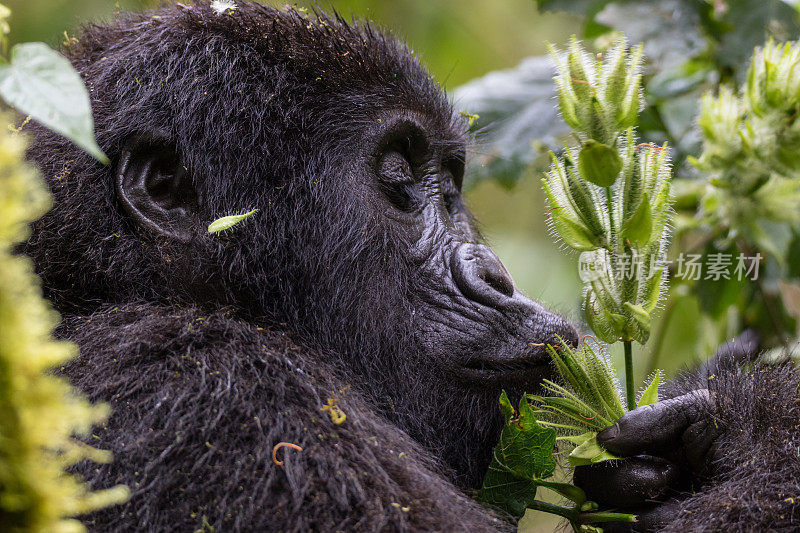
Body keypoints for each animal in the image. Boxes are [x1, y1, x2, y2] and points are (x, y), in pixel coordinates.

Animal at [21, 1, 800, 532]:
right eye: (396, 176)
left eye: (449, 182)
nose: (496, 277)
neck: (93, 282)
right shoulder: (212, 384)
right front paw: (755, 417)